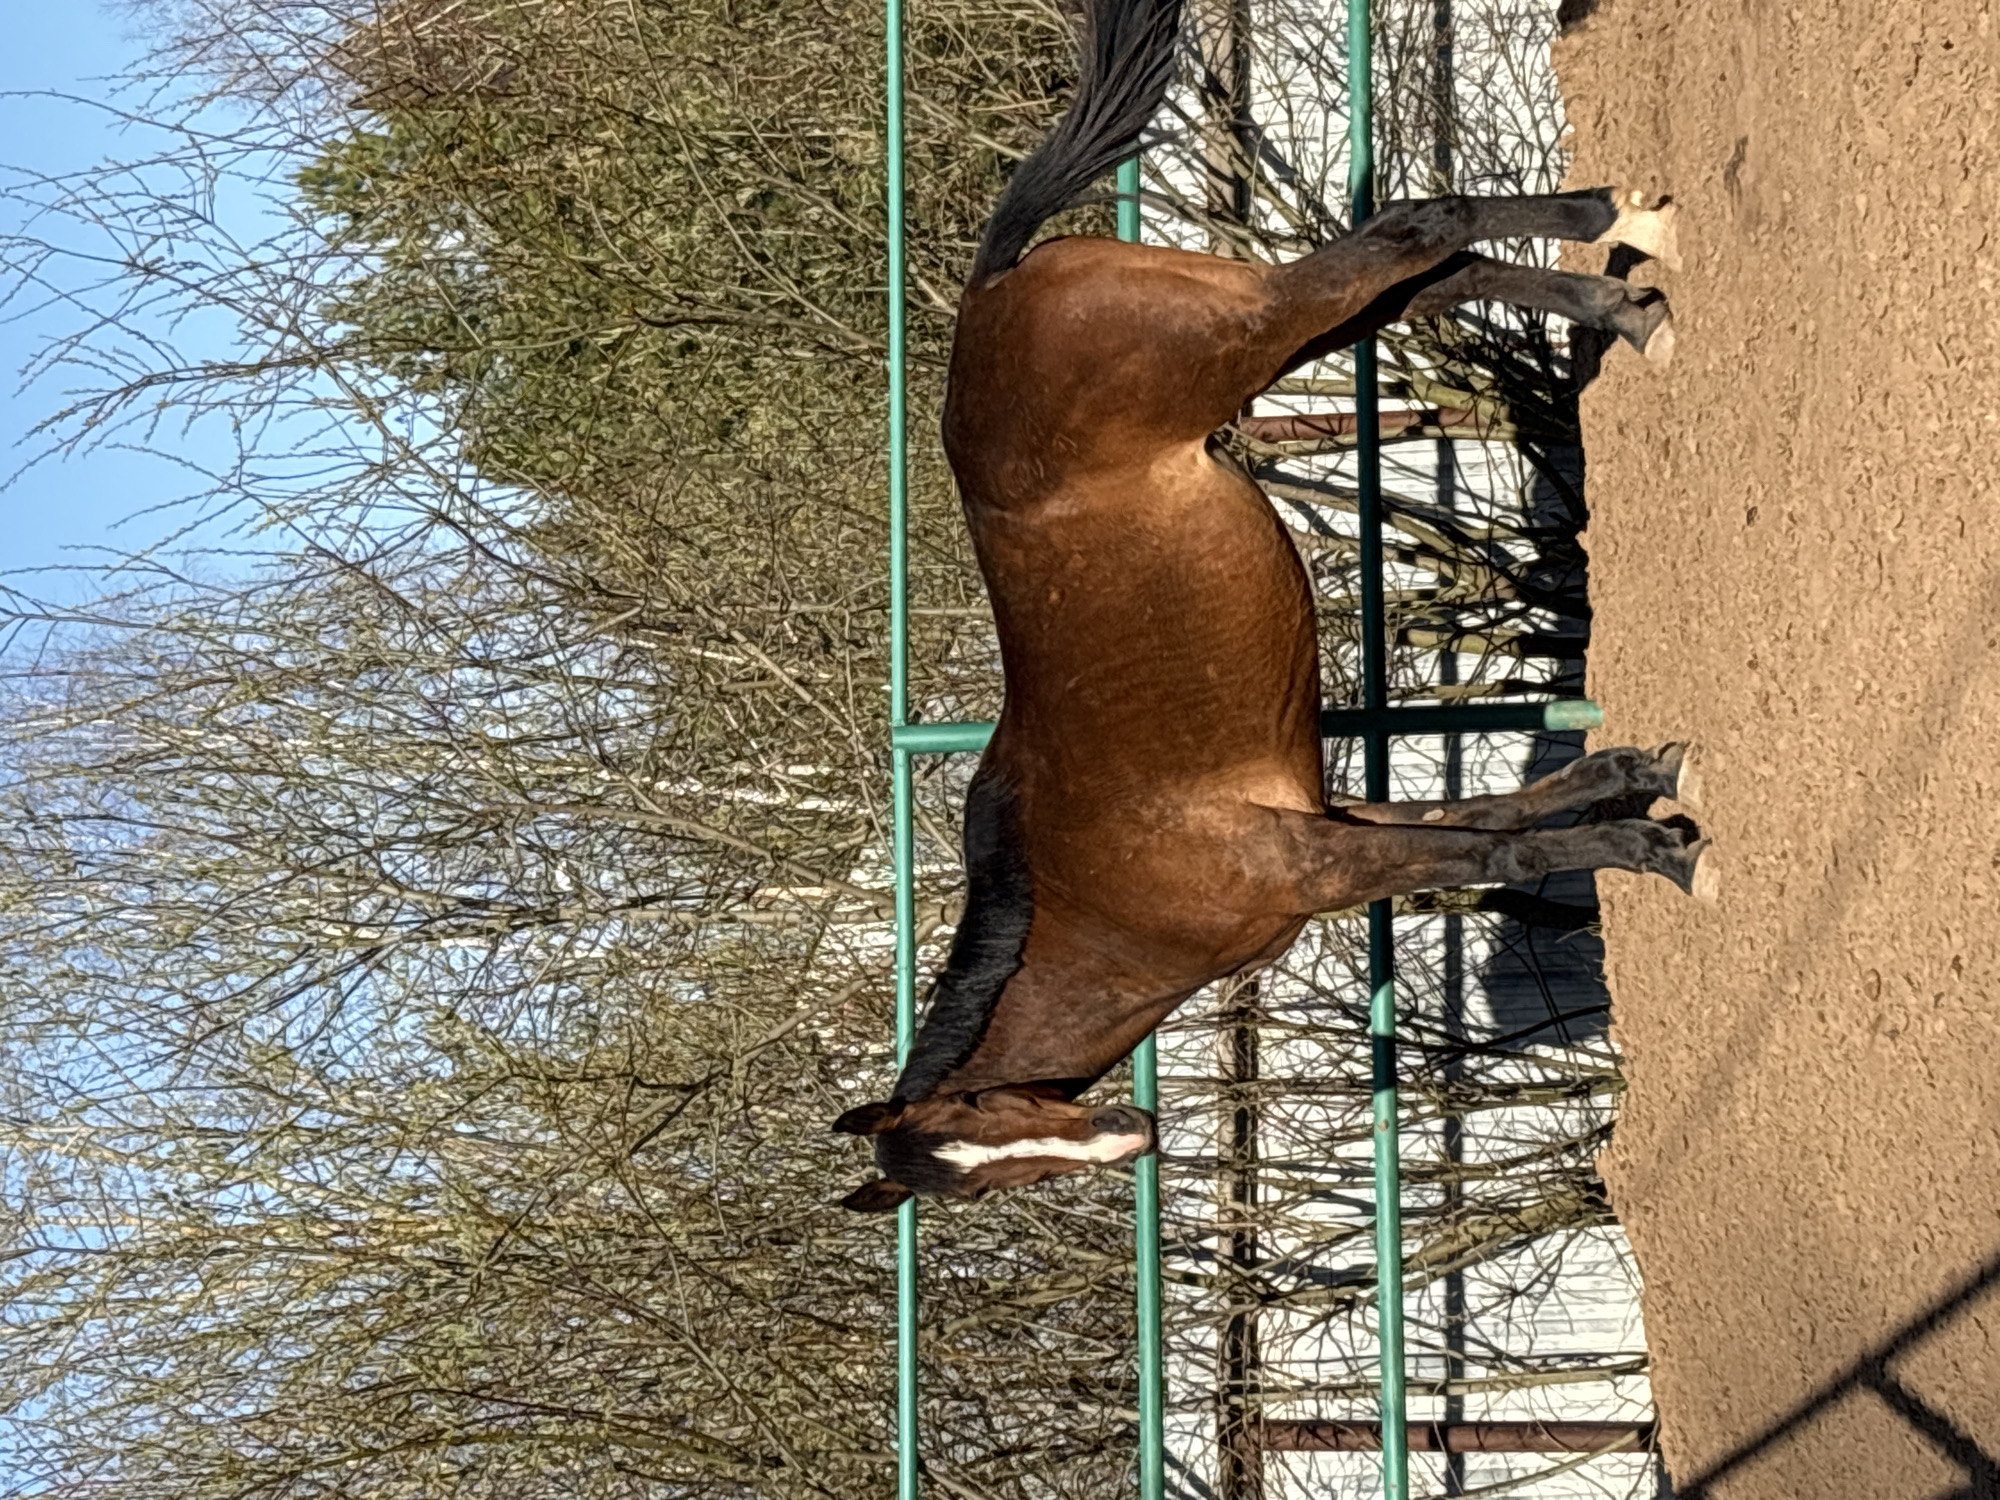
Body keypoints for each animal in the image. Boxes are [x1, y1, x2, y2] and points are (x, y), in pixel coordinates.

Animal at [834, 0, 1701, 1211]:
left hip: (1246, 334)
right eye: (975, 1174)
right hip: (1282, 331)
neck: (1108, 901)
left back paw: (1612, 218)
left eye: (978, 1127)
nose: (1133, 1135)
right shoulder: (1331, 827)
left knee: (1412, 228)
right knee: (1426, 278)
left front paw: (1662, 855)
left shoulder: (1316, 859)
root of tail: (992, 287)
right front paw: (1641, 784)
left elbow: (1502, 860)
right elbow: (1497, 819)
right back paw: (1625, 296)